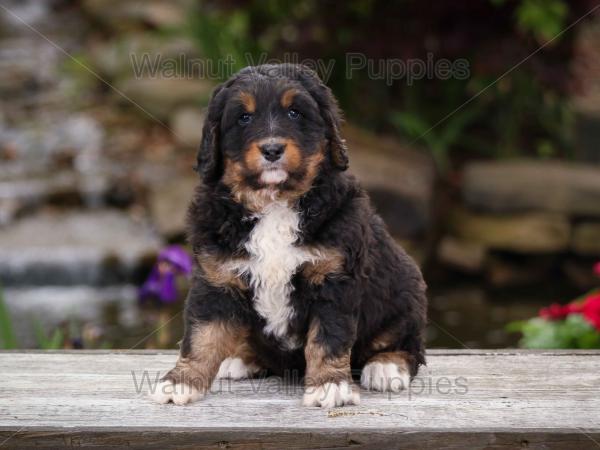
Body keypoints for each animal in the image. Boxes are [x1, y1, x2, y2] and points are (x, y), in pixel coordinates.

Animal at [152, 62, 428, 408]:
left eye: (295, 112)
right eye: (244, 118)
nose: (272, 149)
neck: (273, 203)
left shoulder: (333, 280)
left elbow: (328, 338)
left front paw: (329, 386)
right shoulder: (217, 279)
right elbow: (202, 335)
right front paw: (180, 382)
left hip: (405, 294)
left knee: (407, 345)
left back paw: (386, 366)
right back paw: (240, 358)